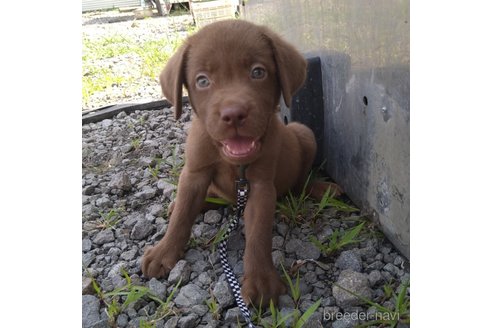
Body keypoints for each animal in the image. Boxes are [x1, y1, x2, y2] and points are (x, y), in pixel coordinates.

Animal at [140, 19, 328, 308]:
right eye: (202, 80)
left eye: (258, 72)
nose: (234, 114)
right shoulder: (193, 173)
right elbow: (182, 214)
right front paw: (163, 252)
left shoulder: (260, 186)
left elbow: (258, 235)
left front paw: (261, 282)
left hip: (304, 133)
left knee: (300, 181)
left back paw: (318, 188)